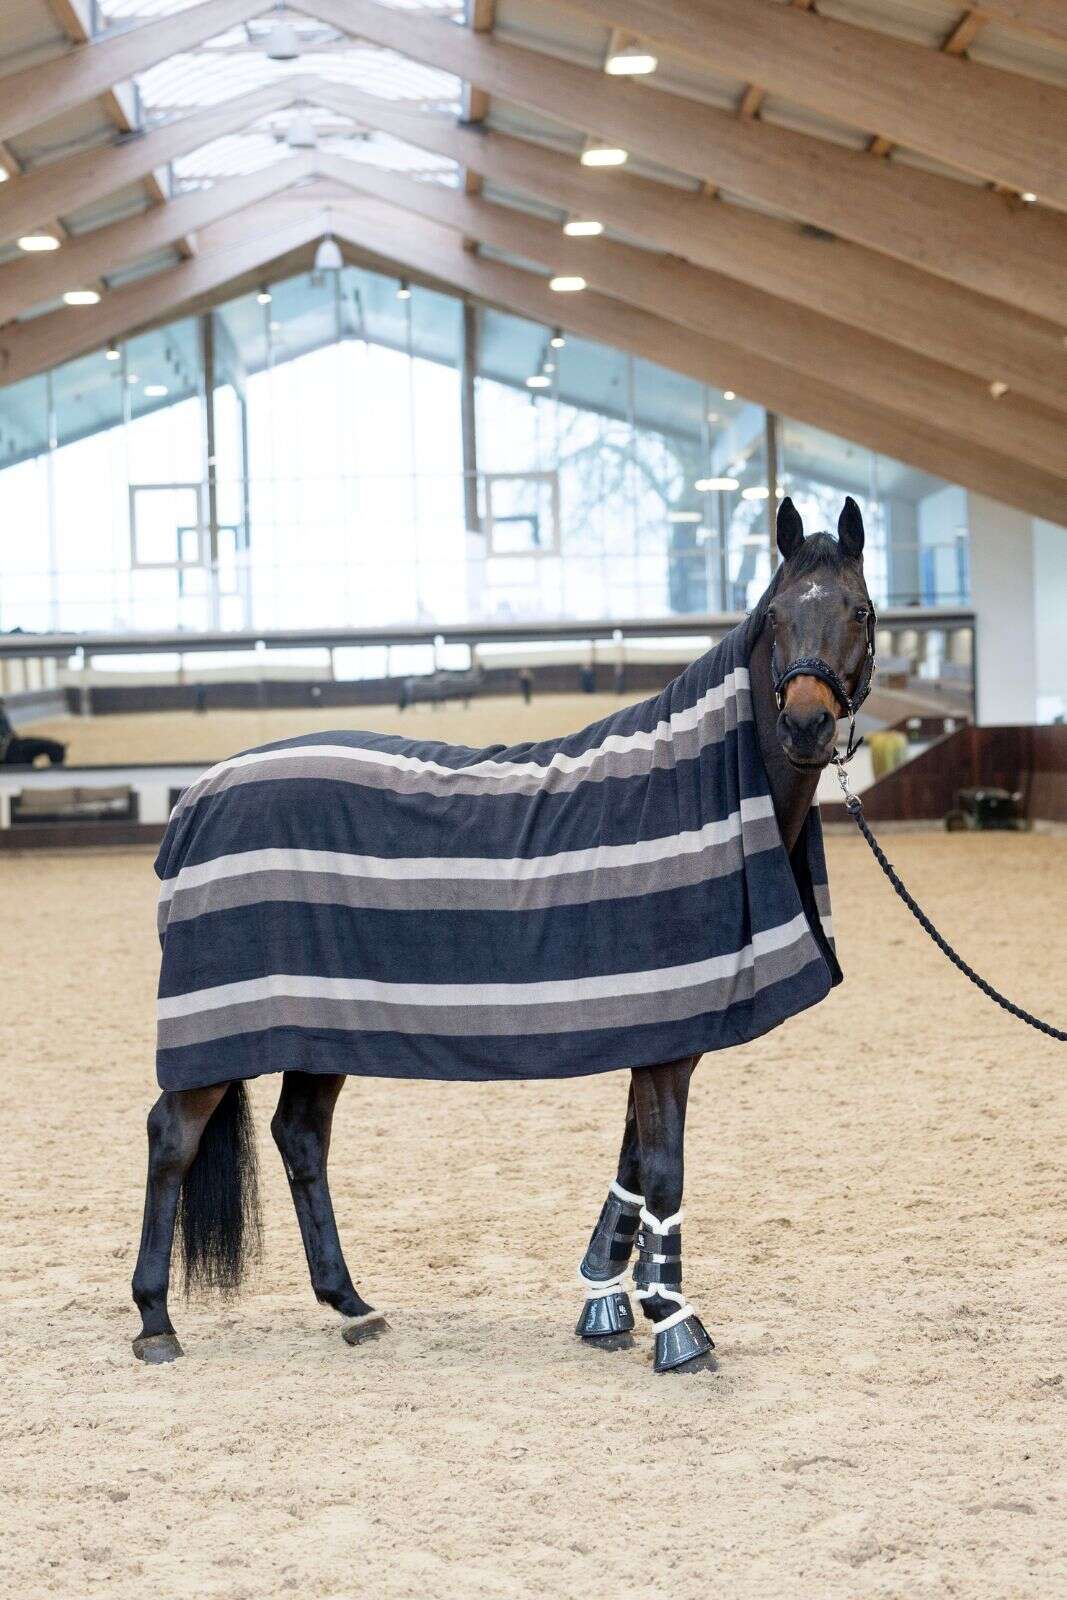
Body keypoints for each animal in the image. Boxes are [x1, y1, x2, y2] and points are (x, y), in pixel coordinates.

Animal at [131, 497, 874, 1375]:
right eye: (776, 616)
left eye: (859, 611)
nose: (805, 723)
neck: (695, 780)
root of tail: (195, 799)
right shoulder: (668, 1039)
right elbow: (663, 1170)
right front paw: (676, 1326)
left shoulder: (661, 1033)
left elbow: (631, 1161)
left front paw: (607, 1305)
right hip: (223, 1033)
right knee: (174, 1137)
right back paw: (155, 1321)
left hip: (318, 1030)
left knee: (300, 1138)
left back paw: (350, 1303)